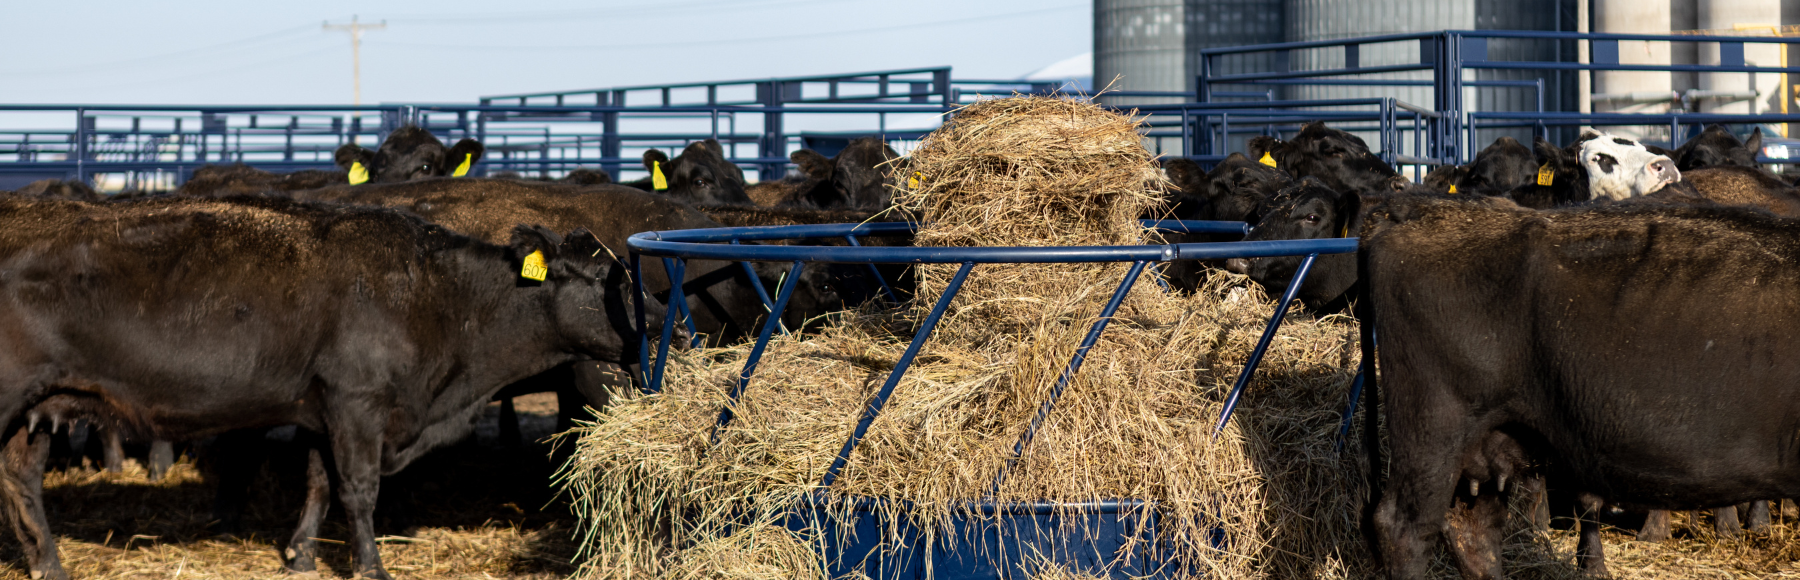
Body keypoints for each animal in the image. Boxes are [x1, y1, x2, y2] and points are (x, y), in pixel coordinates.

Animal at [0, 194, 664, 580]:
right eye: (605, 278)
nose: (669, 322)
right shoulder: (358, 405)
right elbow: (359, 491)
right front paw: (371, 567)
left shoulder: (323, 410)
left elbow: (319, 484)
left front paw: (301, 555)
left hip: (36, 411)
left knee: (20, 481)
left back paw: (48, 565)